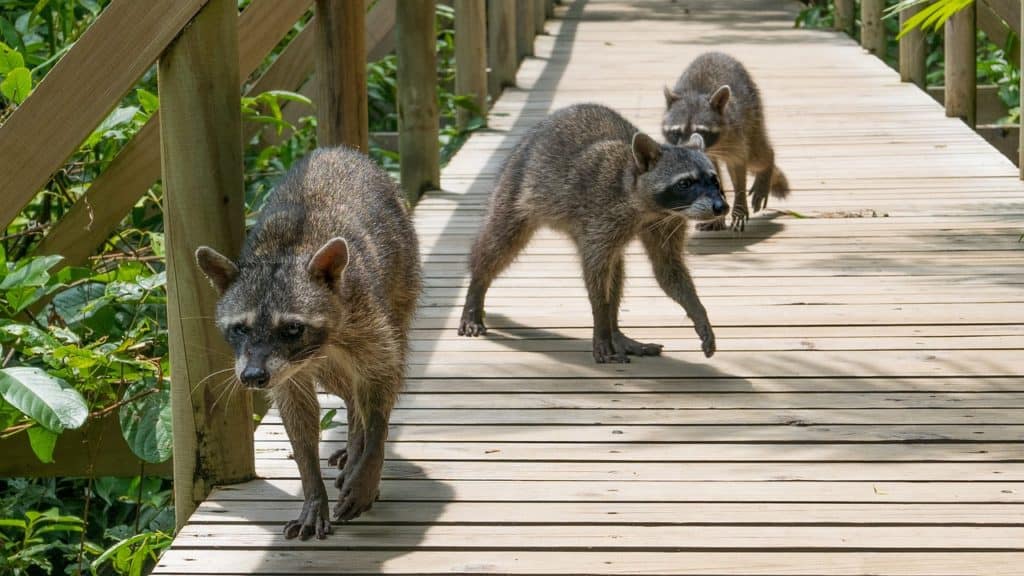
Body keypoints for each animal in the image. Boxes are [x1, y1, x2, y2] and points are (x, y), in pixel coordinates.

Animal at [195, 144, 419, 537]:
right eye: (240, 328)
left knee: (375, 373)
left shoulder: (365, 317)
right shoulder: (285, 369)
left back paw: (360, 446)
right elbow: (297, 415)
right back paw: (353, 434)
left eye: (292, 328)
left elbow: (380, 379)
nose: (252, 378)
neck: (285, 252)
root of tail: (337, 150)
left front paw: (371, 452)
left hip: (402, 277)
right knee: (344, 387)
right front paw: (313, 487)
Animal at [663, 50, 790, 230]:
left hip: (752, 113)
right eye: (676, 131)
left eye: (700, 130)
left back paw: (766, 167)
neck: (694, 94)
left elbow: (738, 164)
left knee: (757, 156)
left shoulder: (734, 132)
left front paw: (739, 202)